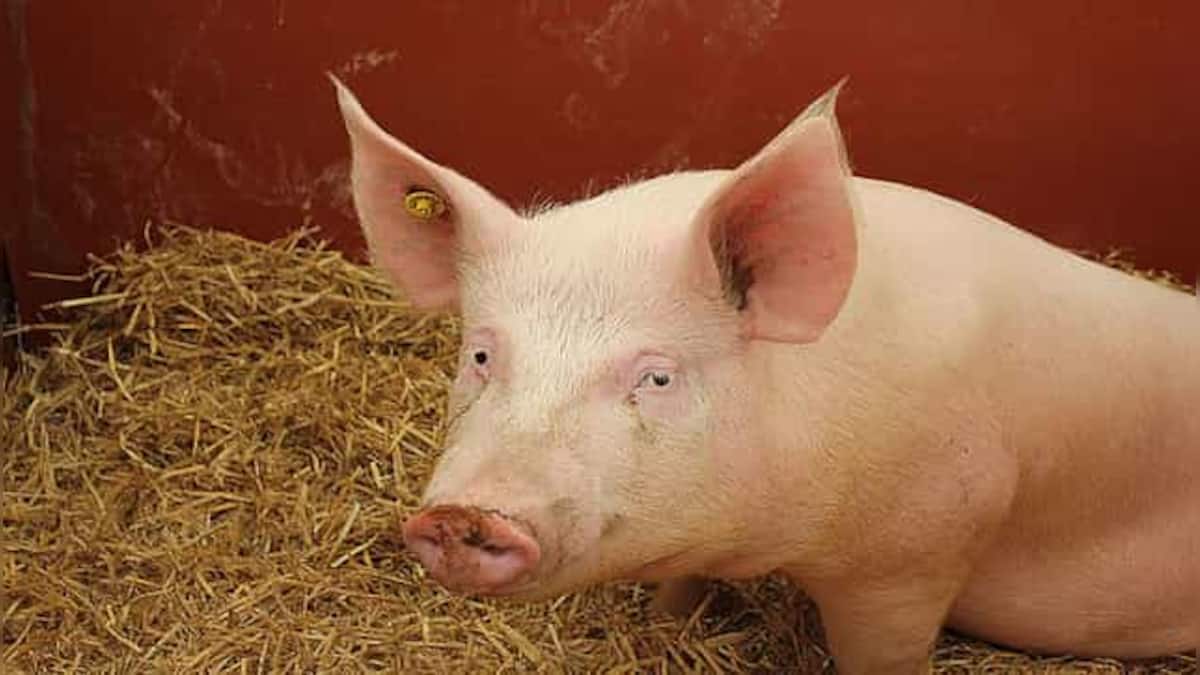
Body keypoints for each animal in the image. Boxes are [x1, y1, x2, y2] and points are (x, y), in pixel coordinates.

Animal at [330, 75, 1200, 674]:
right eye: (482, 354)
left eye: (657, 378)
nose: (465, 514)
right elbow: (680, 588)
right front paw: (669, 623)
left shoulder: (919, 552)